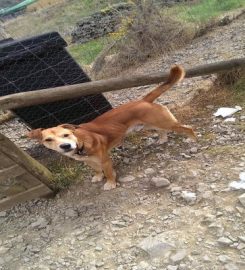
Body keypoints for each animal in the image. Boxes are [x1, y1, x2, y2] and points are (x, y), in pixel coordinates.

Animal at [27, 66, 195, 190]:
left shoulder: (105, 161)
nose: (65, 146)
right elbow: (96, 170)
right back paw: (162, 140)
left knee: (188, 128)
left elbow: (108, 173)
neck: (80, 142)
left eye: (66, 135)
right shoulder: (88, 162)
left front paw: (110, 183)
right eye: (48, 139)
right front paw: (98, 177)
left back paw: (193, 140)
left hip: (166, 122)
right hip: (152, 124)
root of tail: (143, 100)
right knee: (162, 131)